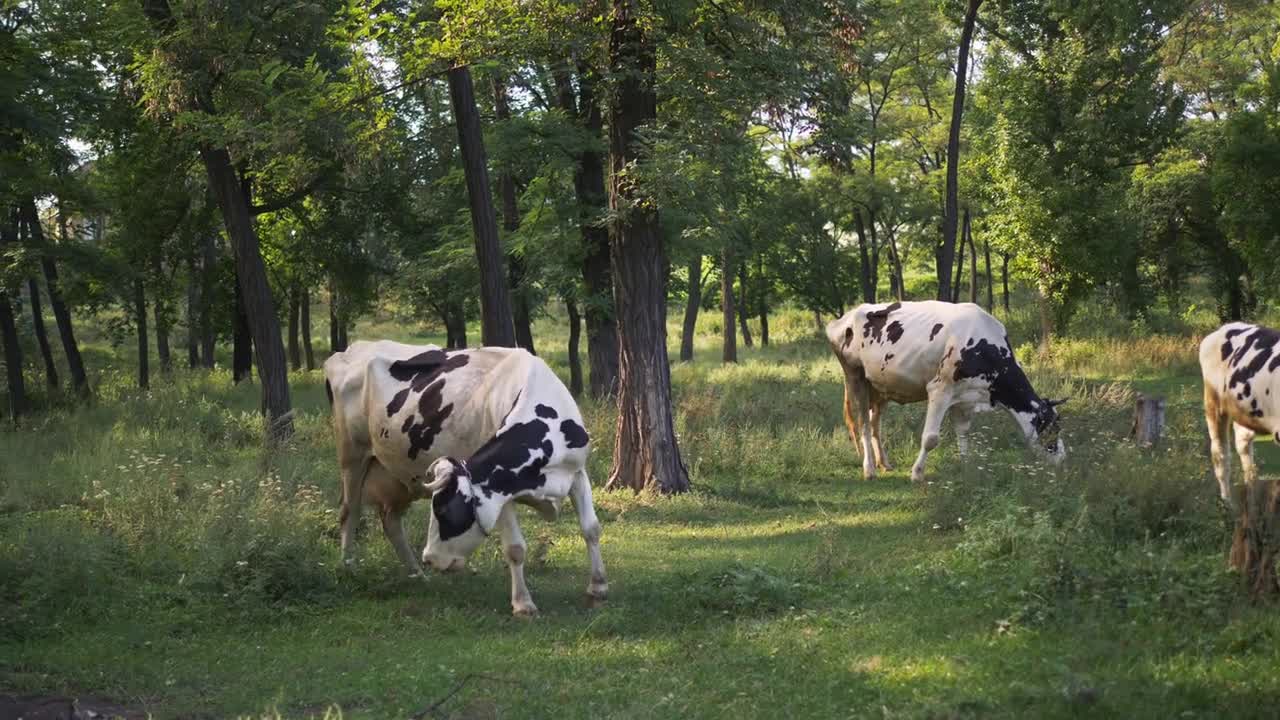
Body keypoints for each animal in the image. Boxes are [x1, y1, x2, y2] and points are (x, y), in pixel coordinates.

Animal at [322, 338, 606, 614]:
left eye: (443, 510)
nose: (429, 558)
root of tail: (350, 349)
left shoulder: (577, 474)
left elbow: (591, 529)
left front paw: (597, 589)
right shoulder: (500, 493)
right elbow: (515, 548)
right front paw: (523, 605)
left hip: (400, 476)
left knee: (391, 520)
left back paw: (416, 575)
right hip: (352, 455)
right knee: (350, 511)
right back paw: (349, 568)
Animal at [824, 299, 1064, 479]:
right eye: (1052, 429)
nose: (1063, 461)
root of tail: (844, 317)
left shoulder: (966, 397)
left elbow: (963, 433)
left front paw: (966, 466)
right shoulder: (939, 389)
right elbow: (930, 438)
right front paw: (917, 474)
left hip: (880, 385)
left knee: (875, 423)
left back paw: (884, 463)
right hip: (855, 377)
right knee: (863, 422)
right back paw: (870, 469)